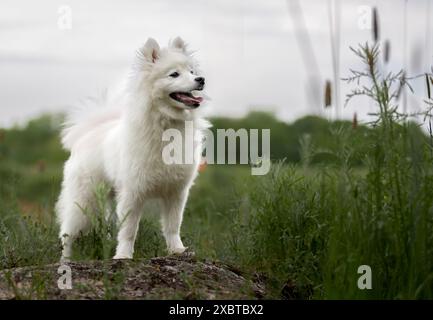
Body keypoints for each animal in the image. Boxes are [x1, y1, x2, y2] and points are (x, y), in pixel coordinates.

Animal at [56, 37, 208, 262]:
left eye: (191, 71)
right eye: (174, 74)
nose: (201, 79)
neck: (166, 126)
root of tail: (90, 131)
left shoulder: (176, 192)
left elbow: (173, 226)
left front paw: (177, 250)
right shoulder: (133, 193)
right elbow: (128, 230)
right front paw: (123, 256)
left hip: (108, 196)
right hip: (83, 200)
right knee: (67, 234)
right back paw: (65, 261)